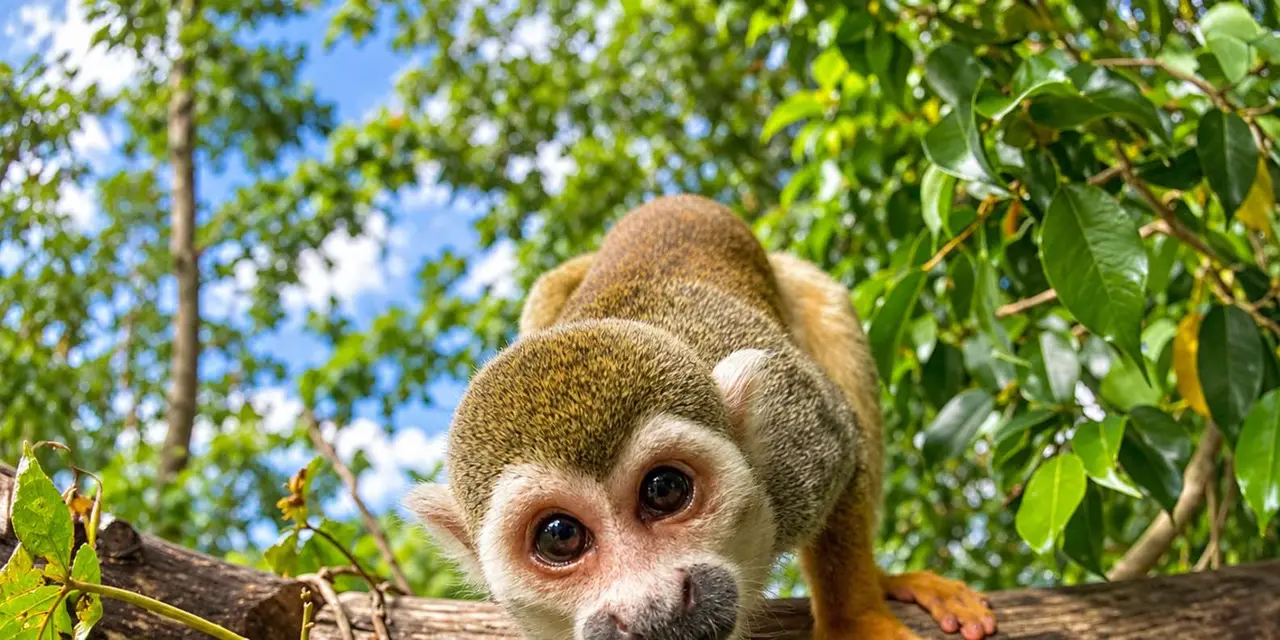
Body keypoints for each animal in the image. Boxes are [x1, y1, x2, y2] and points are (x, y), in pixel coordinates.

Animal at [407, 195, 997, 640]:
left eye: (665, 490)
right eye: (559, 537)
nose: (653, 606)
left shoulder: (798, 439)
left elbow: (846, 441)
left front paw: (855, 621)